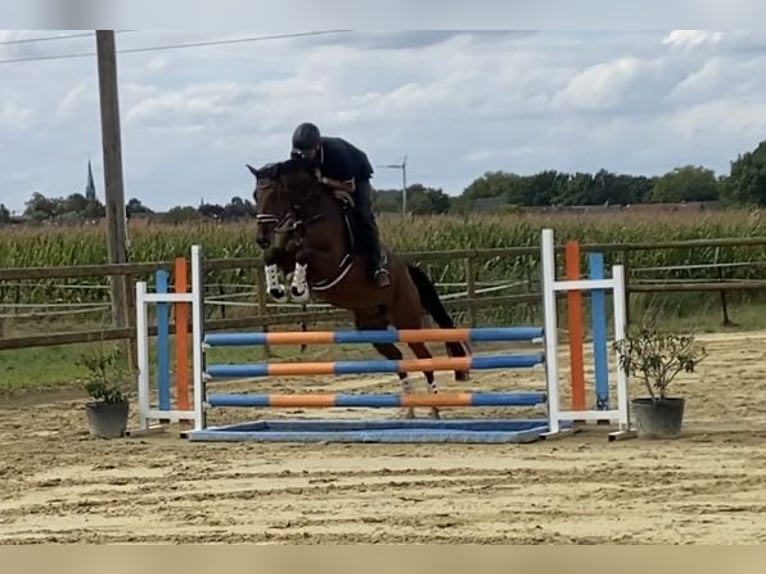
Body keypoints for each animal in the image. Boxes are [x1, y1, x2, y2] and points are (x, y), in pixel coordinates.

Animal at [246, 158, 471, 419]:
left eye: (274, 194)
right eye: (255, 195)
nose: (261, 238)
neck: (309, 215)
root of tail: (407, 272)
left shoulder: (330, 263)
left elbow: (304, 254)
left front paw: (298, 289)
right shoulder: (287, 254)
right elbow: (274, 255)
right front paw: (278, 290)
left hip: (406, 319)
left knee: (424, 358)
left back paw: (434, 407)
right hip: (371, 326)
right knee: (397, 359)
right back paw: (410, 409)